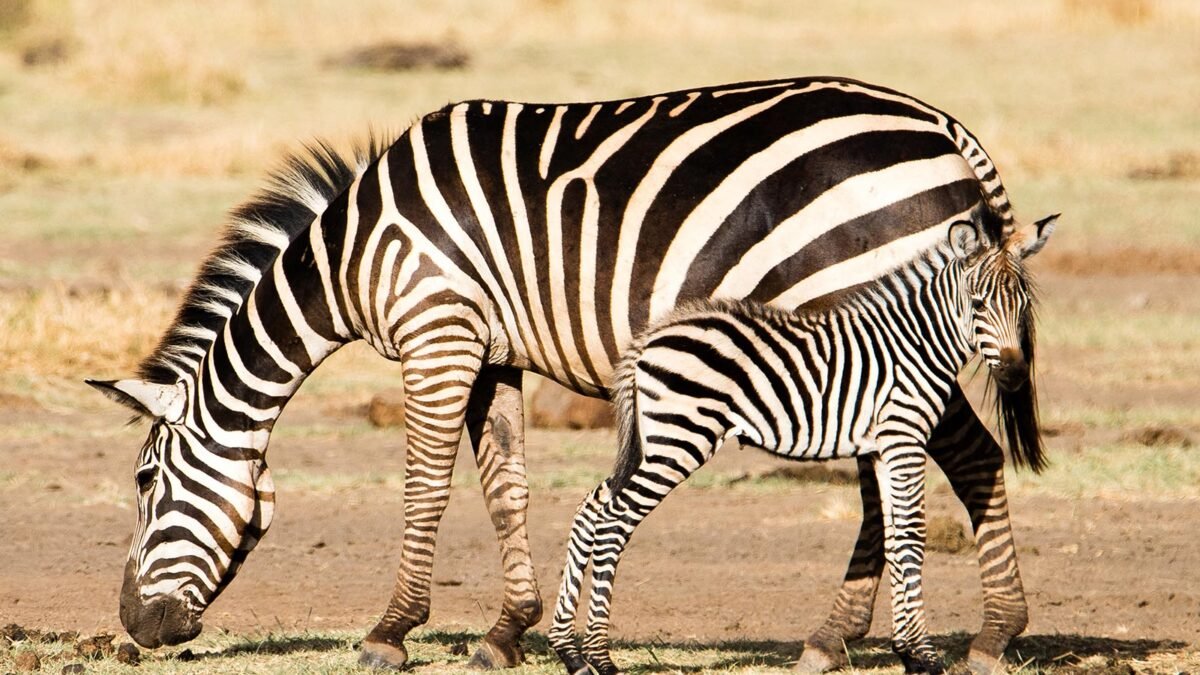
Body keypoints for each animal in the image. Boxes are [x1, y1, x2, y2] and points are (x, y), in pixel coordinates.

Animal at [549, 215, 1056, 675]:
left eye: (1024, 304)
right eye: (978, 304)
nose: (1015, 374)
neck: (914, 345)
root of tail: (649, 339)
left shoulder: (883, 448)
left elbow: (895, 539)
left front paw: (908, 652)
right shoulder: (904, 437)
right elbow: (912, 536)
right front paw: (925, 657)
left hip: (651, 441)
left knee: (591, 508)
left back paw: (570, 652)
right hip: (680, 439)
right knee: (613, 522)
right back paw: (600, 658)